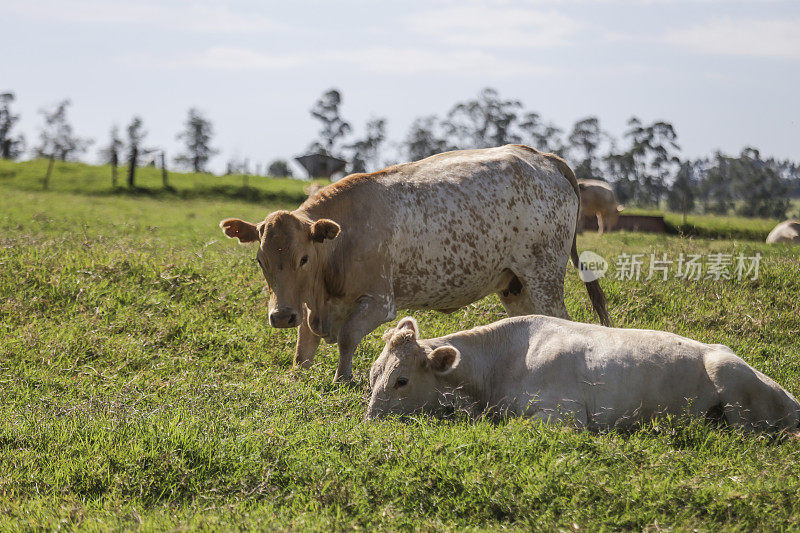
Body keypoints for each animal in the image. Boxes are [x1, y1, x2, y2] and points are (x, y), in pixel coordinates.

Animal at [219, 143, 608, 380]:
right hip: (515, 286)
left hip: (544, 277)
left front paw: (343, 377)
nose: (280, 316)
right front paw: (297, 377)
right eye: (260, 260)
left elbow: (347, 337)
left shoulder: (379, 303)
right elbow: (304, 348)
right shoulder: (308, 306)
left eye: (303, 258)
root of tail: (543, 157)